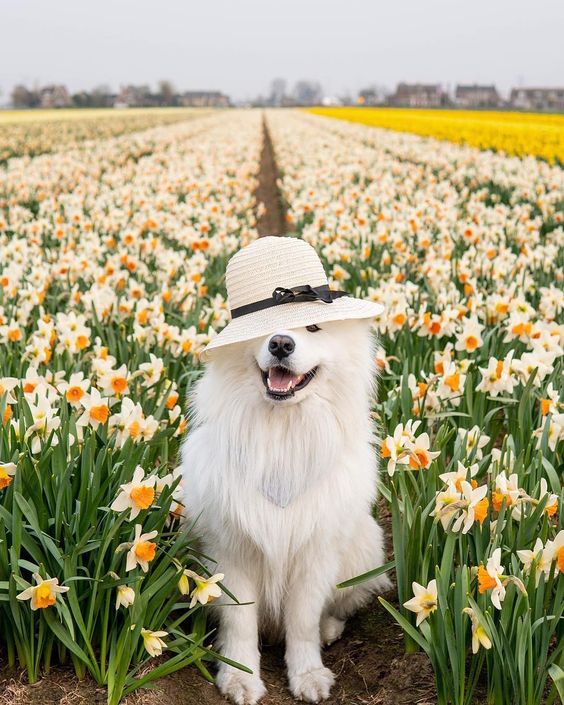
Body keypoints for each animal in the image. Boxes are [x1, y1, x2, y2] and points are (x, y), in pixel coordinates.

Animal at [183, 234, 390, 700]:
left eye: (313, 328)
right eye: (263, 333)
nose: (280, 343)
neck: (282, 432)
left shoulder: (315, 552)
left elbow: (303, 622)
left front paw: (309, 675)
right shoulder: (232, 551)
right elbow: (240, 622)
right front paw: (240, 678)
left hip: (363, 549)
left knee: (337, 608)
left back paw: (330, 630)